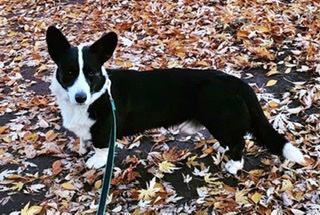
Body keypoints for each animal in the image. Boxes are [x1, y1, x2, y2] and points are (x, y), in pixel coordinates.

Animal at [45, 26, 304, 175]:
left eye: (91, 73)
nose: (80, 97)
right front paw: (82, 148)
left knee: (239, 143)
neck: (96, 96)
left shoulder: (104, 131)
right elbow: (83, 139)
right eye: (69, 72)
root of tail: (235, 82)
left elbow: (100, 149)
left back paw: (234, 165)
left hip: (218, 119)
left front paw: (95, 162)